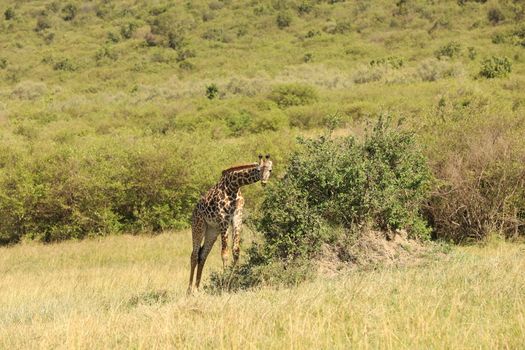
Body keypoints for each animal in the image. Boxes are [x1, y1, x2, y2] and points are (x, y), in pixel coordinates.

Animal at [187, 154, 272, 294]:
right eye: (259, 170)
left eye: (270, 170)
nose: (264, 182)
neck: (234, 186)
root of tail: (194, 211)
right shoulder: (224, 219)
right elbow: (224, 253)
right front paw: (224, 283)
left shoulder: (237, 218)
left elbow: (236, 251)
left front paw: (236, 280)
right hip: (198, 226)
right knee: (194, 255)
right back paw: (189, 290)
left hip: (212, 230)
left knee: (202, 255)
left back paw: (197, 289)